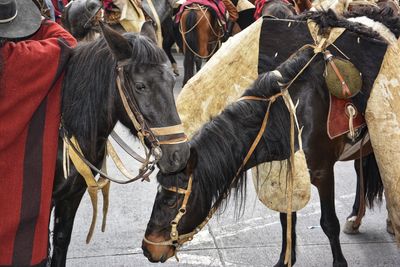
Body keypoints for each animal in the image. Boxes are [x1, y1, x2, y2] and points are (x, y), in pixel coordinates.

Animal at [141, 10, 396, 267]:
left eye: (171, 201)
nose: (148, 249)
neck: (292, 112)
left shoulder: (323, 174)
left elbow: (328, 223)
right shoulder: (286, 175)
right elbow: (286, 221)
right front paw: (285, 259)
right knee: (361, 171)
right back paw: (356, 218)